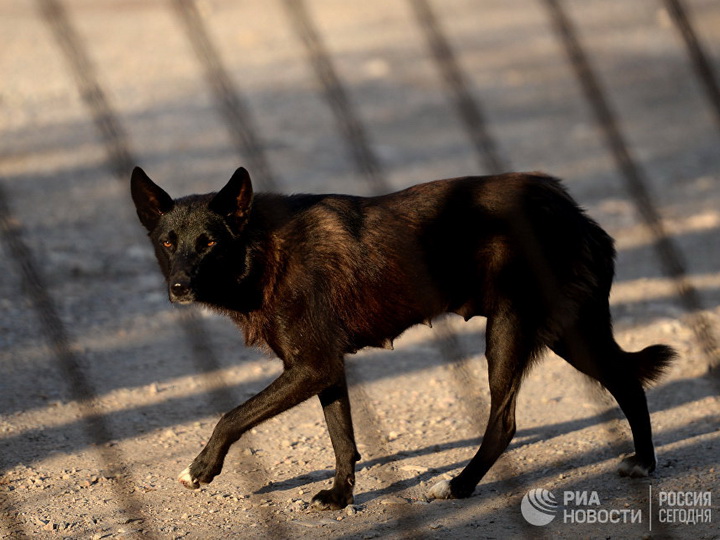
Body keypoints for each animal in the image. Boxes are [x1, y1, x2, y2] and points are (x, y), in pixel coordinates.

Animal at [131, 167, 676, 508]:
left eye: (209, 242)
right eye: (168, 243)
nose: (178, 287)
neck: (263, 249)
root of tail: (570, 208)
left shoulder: (311, 367)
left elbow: (232, 416)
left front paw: (200, 469)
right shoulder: (324, 369)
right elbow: (342, 438)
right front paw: (340, 497)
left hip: (509, 330)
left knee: (505, 422)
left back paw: (458, 487)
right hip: (569, 333)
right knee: (628, 383)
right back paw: (645, 463)